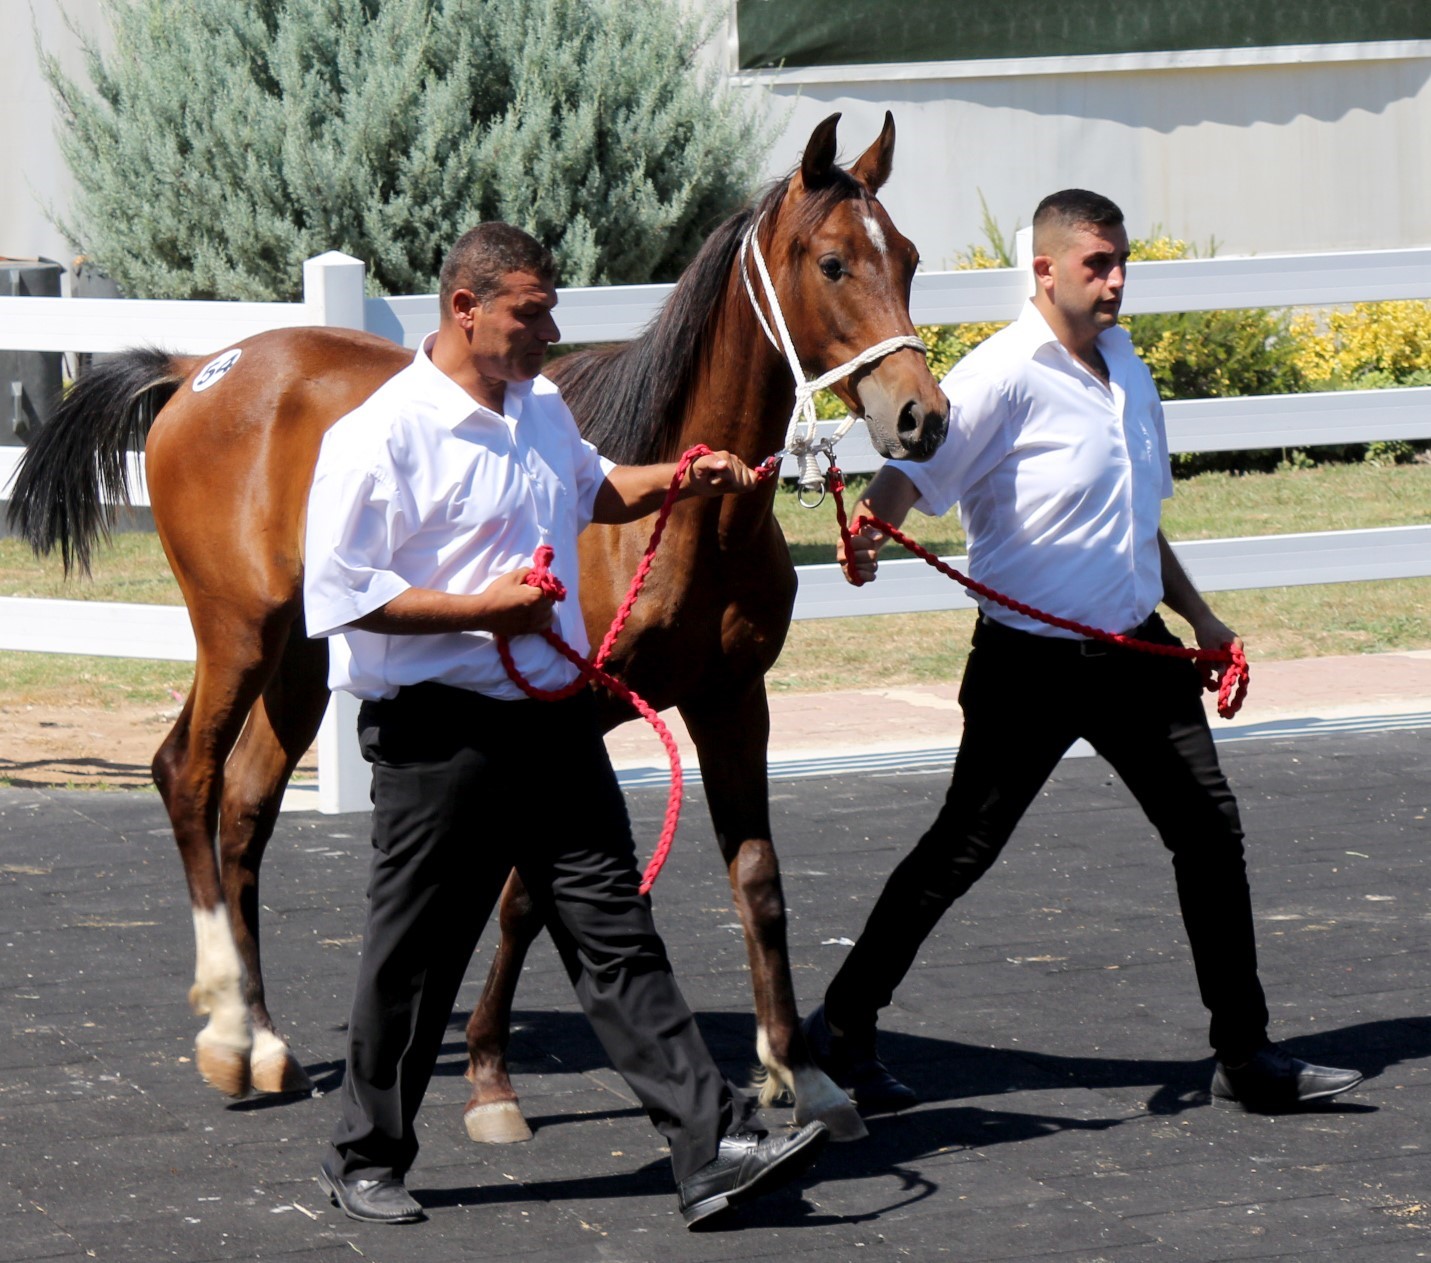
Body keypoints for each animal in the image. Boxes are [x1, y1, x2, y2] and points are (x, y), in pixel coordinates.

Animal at [13, 115, 950, 1144]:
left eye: (907, 257)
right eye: (832, 262)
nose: (923, 416)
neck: (676, 523)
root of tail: (200, 373)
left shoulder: (731, 703)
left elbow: (758, 879)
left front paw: (801, 1072)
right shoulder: (566, 714)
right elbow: (524, 895)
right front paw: (492, 1080)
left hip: (299, 655)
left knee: (248, 802)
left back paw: (263, 1039)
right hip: (238, 632)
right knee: (187, 773)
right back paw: (227, 1029)